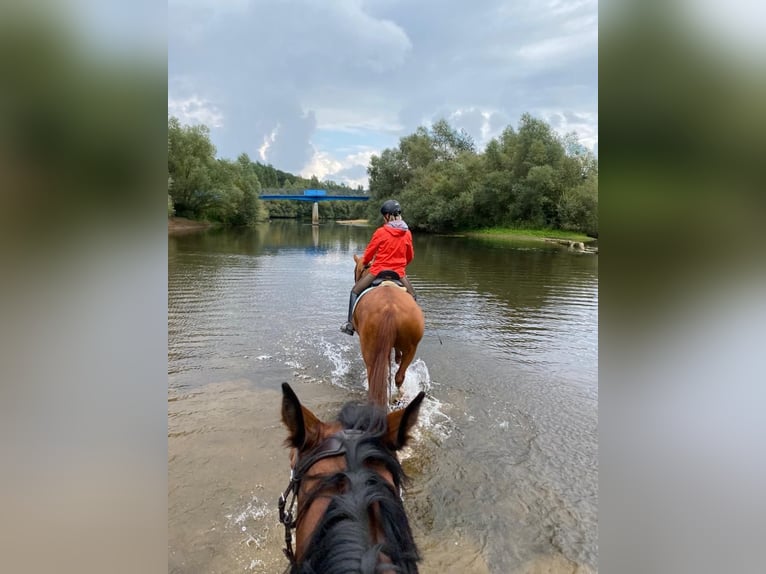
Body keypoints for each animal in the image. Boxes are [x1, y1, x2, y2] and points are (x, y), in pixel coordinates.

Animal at [352, 254, 426, 408]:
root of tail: (390, 309)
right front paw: (397, 357)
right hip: (411, 348)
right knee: (399, 376)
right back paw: (398, 396)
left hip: (370, 350)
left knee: (373, 376)